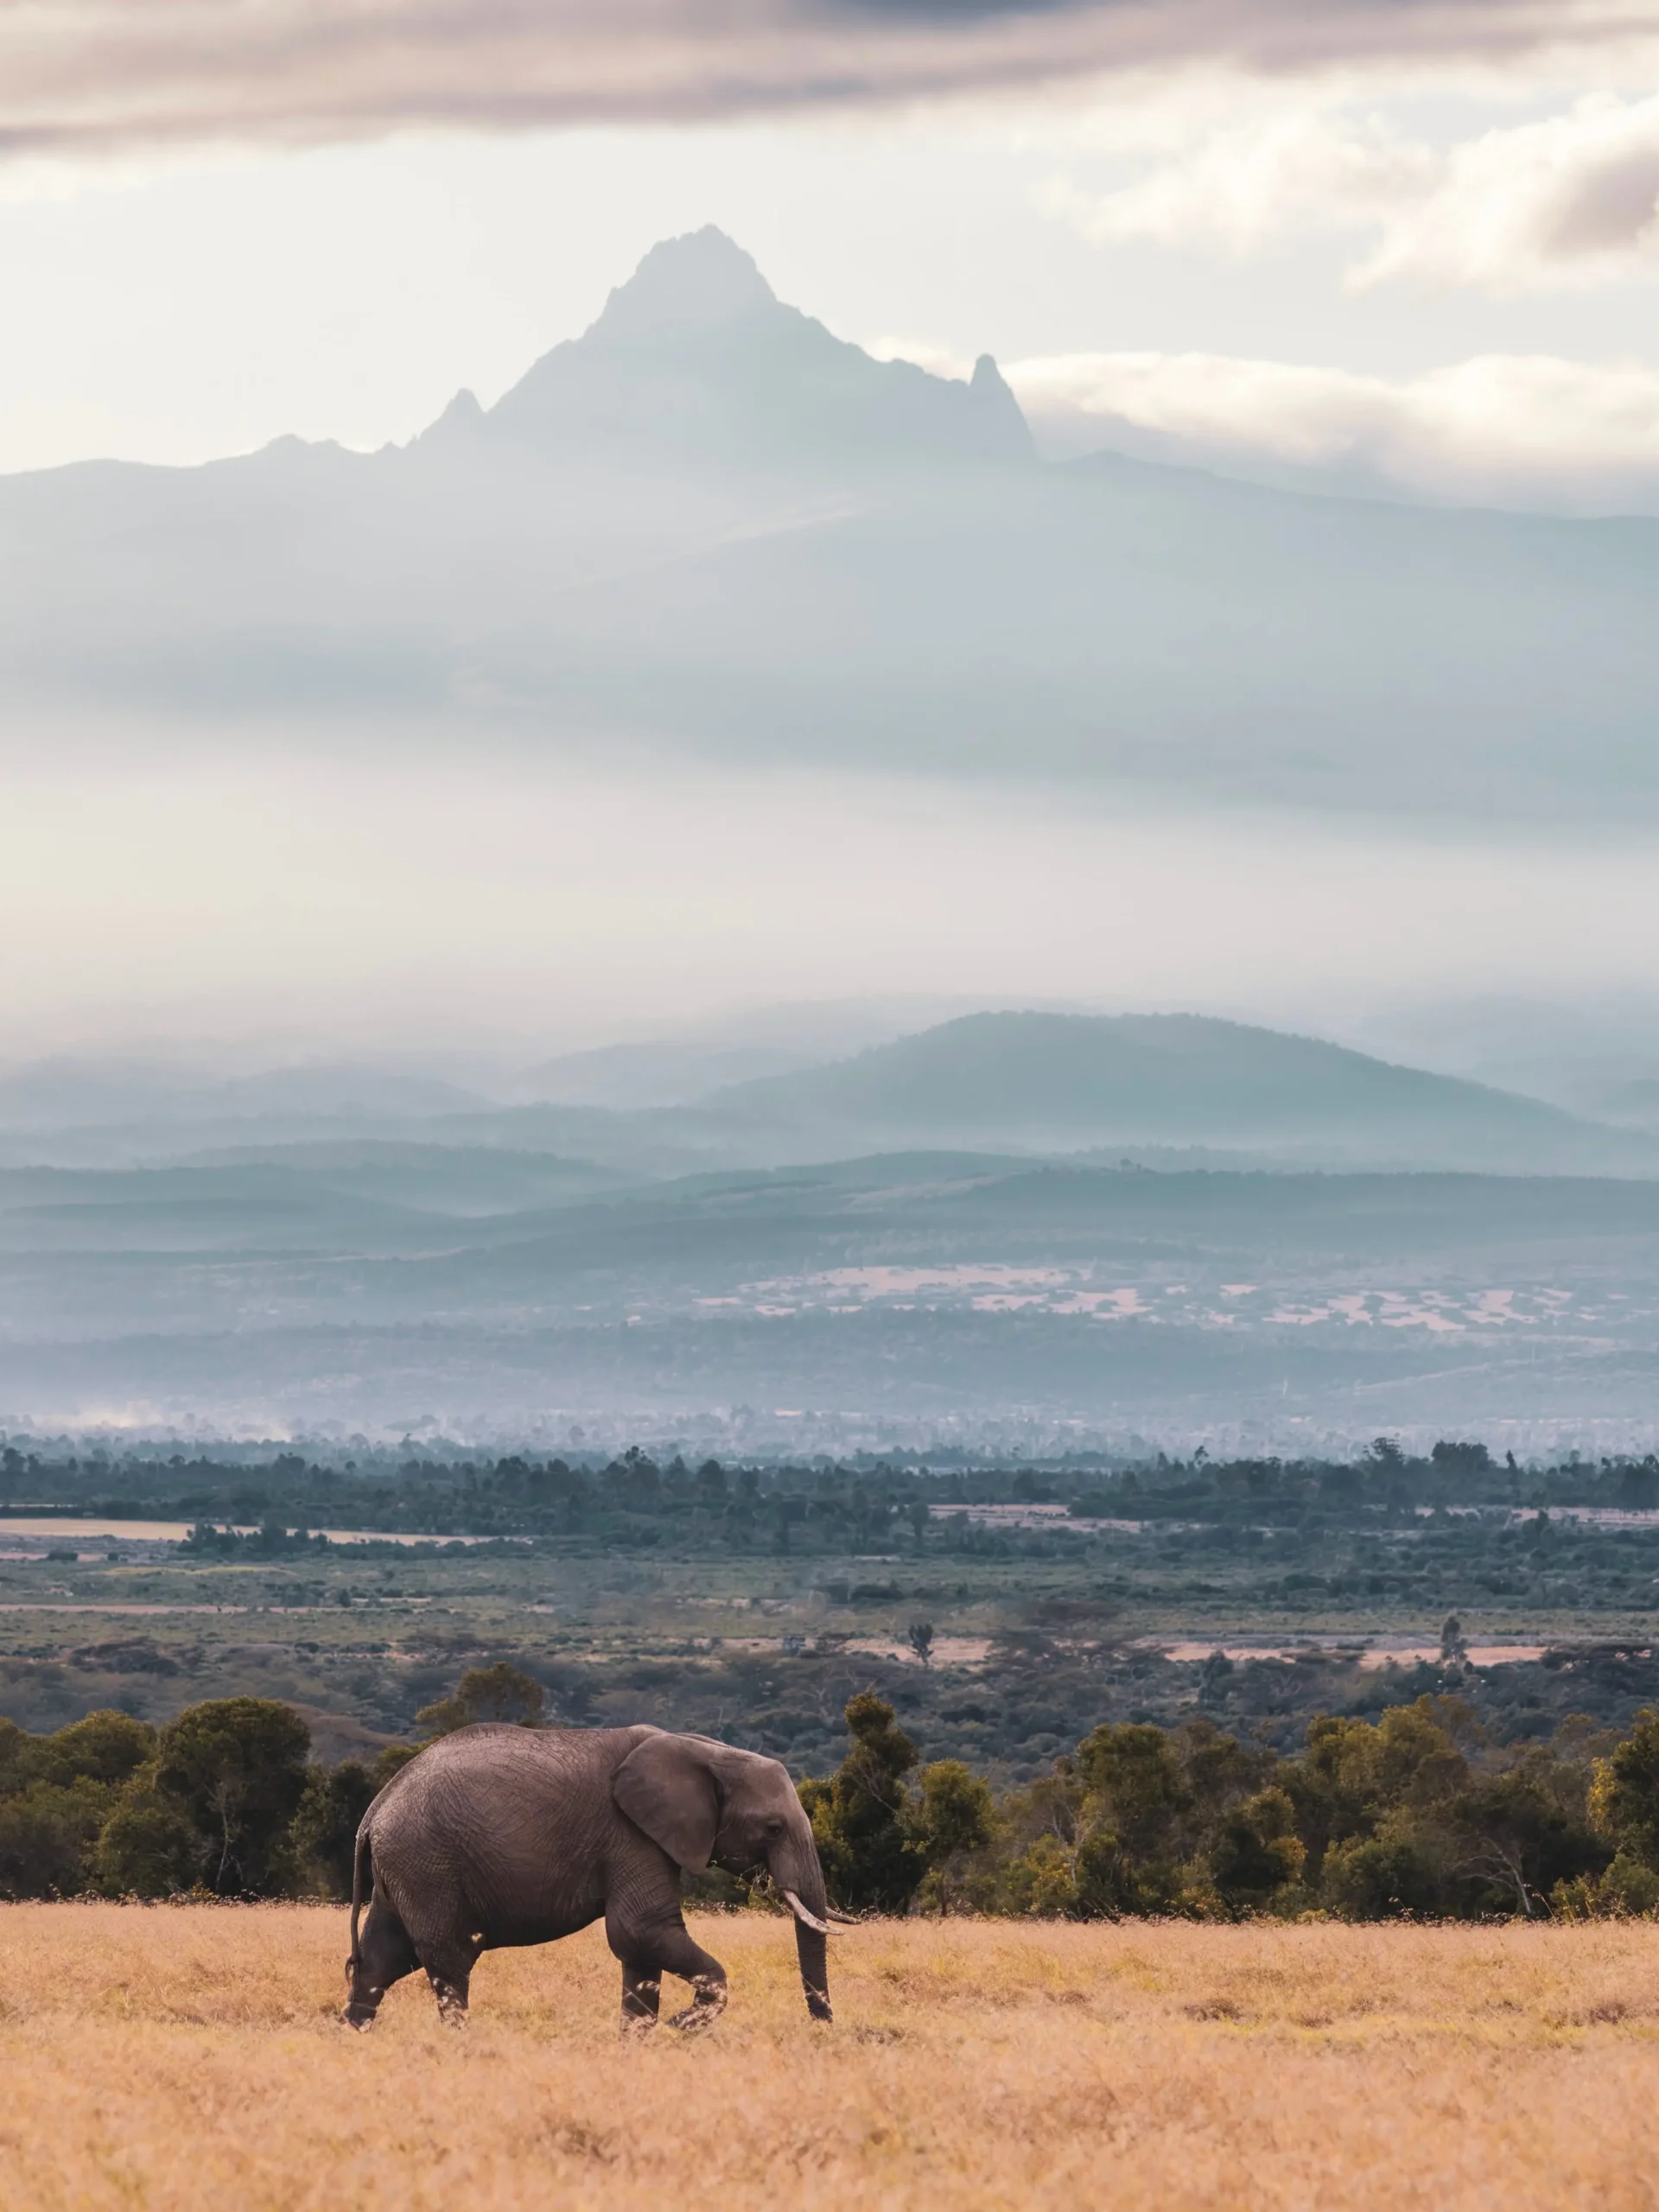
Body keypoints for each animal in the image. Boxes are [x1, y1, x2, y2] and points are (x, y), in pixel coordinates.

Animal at [342, 1722, 847, 2033]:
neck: (706, 1751)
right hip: (427, 1865)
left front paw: (643, 2041)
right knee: (449, 1962)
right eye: (773, 1828)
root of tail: (374, 1811)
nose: (823, 2029)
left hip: (406, 1870)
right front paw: (680, 2027)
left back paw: (354, 2039)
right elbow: (641, 1930)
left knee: (381, 1960)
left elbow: (640, 1950)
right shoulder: (631, 1835)